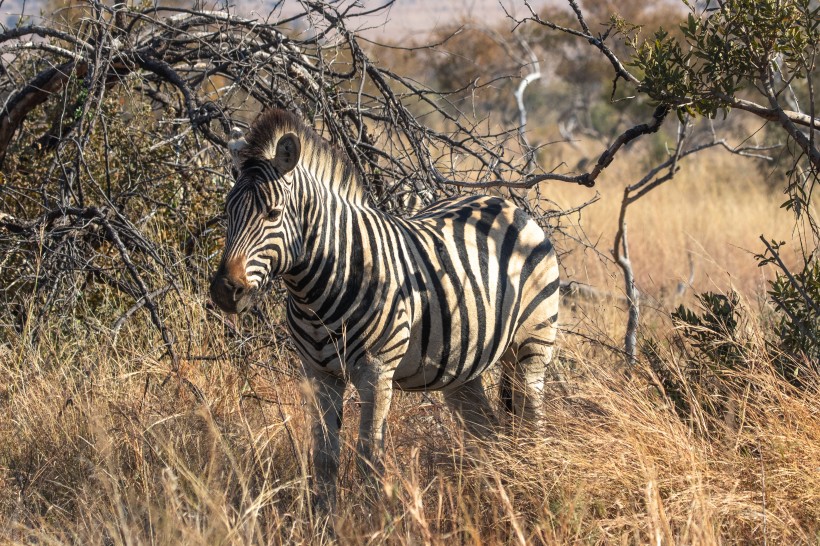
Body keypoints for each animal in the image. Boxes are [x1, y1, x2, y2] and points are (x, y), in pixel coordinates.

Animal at [208, 108, 560, 512]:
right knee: (486, 431)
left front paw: (371, 517)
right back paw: (489, 494)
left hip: (532, 346)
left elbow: (368, 456)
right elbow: (324, 456)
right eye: (226, 211)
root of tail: (506, 204)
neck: (319, 285)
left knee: (533, 424)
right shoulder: (318, 373)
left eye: (273, 213)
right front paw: (324, 517)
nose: (225, 291)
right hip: (462, 364)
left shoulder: (376, 372)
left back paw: (535, 491)